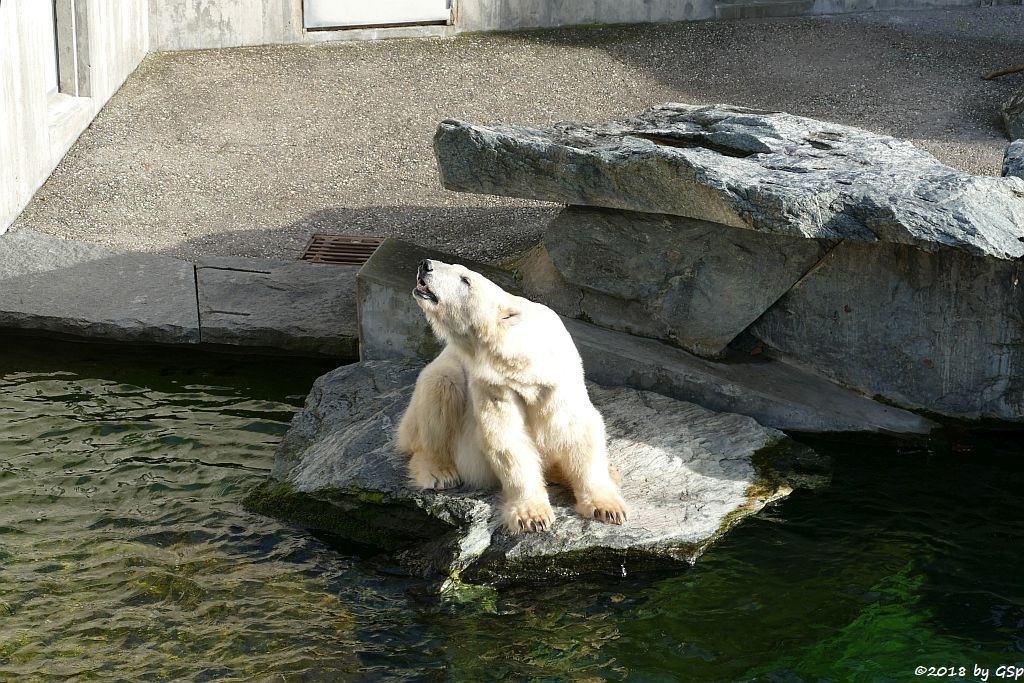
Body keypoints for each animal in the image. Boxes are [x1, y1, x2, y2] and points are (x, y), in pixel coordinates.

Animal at [395, 259, 626, 532]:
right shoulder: (495, 383)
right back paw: (439, 472)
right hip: (434, 391)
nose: (426, 264)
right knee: (441, 386)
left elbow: (577, 429)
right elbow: (506, 437)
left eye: (465, 279)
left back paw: (609, 471)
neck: (525, 360)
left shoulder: (556, 379)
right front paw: (533, 517)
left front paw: (607, 507)